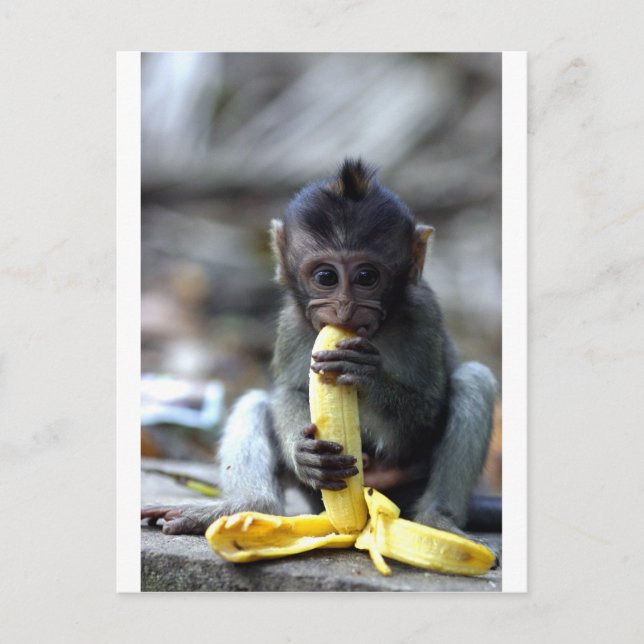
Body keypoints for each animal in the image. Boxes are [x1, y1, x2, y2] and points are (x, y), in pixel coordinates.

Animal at [142, 159, 499, 540]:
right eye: (326, 277)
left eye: (367, 277)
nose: (344, 309)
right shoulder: (292, 323)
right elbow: (288, 391)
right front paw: (304, 454)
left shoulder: (424, 316)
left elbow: (424, 418)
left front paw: (367, 375)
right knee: (256, 402)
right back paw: (246, 507)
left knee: (474, 379)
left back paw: (436, 518)